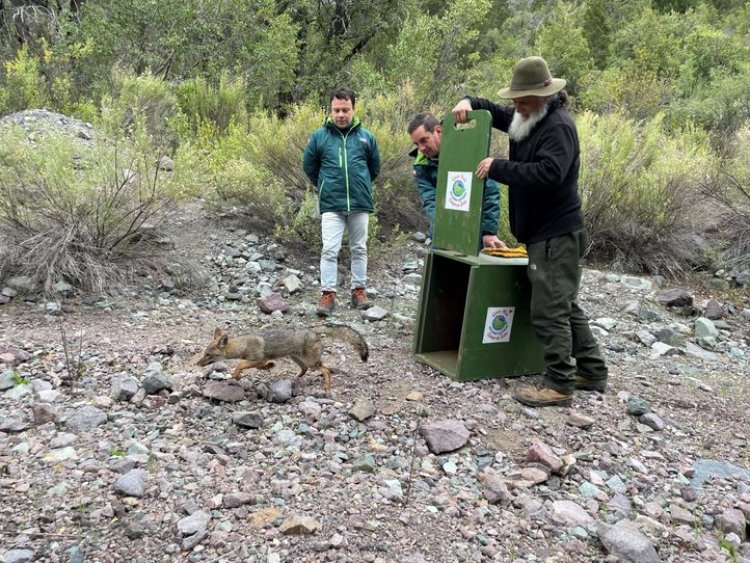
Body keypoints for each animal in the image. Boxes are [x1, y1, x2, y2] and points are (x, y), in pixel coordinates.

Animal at [195, 326, 368, 392]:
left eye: (208, 355)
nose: (197, 363)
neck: (243, 345)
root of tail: (313, 330)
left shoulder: (258, 359)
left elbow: (240, 364)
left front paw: (237, 375)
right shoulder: (260, 360)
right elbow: (259, 366)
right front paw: (271, 366)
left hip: (311, 363)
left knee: (326, 369)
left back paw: (326, 386)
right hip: (297, 359)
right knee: (304, 370)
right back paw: (294, 378)